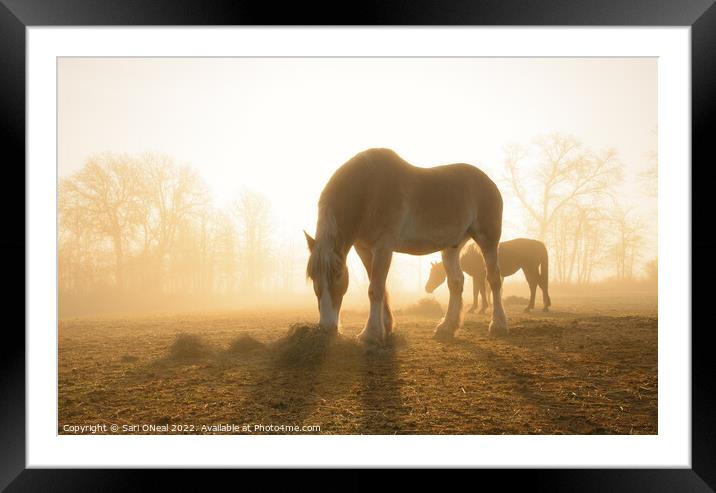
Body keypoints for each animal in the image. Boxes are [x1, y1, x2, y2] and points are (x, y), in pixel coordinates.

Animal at [304, 148, 506, 344]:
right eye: (313, 276)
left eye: (338, 274)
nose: (327, 327)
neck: (369, 191)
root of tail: (489, 183)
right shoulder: (365, 250)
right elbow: (379, 286)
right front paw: (386, 327)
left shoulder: (383, 248)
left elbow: (375, 289)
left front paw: (371, 334)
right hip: (451, 247)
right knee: (456, 282)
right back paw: (447, 327)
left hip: (488, 240)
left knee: (494, 279)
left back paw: (498, 325)